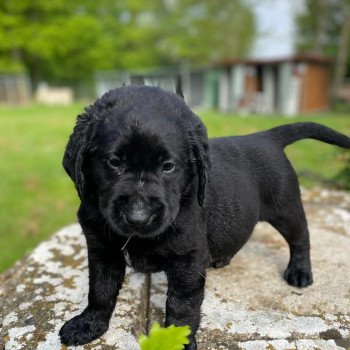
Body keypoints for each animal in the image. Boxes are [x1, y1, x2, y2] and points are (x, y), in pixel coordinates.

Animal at [60, 85, 350, 350]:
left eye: (168, 167)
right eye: (114, 163)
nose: (138, 217)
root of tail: (266, 136)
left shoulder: (187, 259)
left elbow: (181, 305)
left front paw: (178, 341)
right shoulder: (102, 250)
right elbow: (100, 289)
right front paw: (89, 324)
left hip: (287, 208)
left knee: (301, 238)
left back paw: (300, 272)